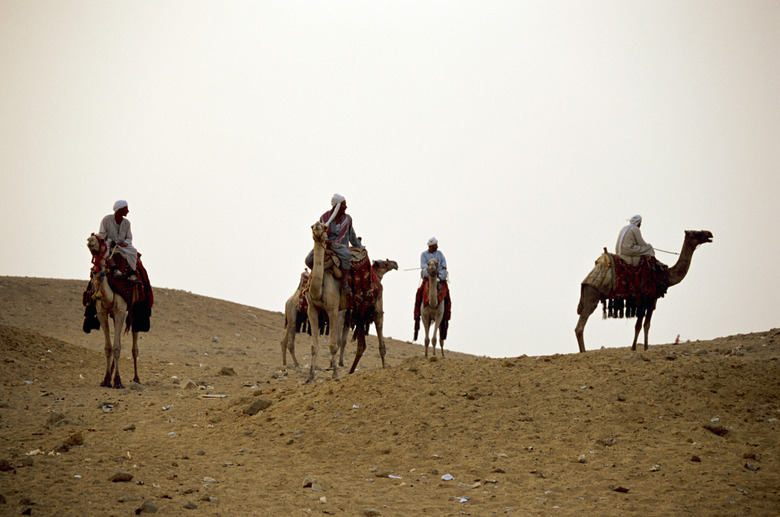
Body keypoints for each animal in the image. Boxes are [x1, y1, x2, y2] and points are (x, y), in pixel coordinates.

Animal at [86, 234, 139, 388]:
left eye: (102, 239)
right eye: (90, 236)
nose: (90, 241)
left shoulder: (120, 312)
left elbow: (116, 348)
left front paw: (117, 381)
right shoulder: (102, 313)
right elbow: (108, 348)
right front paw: (106, 379)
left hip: (134, 311)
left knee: (134, 347)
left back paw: (136, 378)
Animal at [572, 229, 712, 350]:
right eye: (696, 233)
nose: (710, 234)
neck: (665, 275)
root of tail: (585, 281)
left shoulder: (643, 301)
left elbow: (639, 325)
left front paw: (634, 348)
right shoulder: (650, 299)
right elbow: (645, 325)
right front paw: (644, 348)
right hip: (592, 294)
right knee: (580, 327)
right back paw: (583, 352)